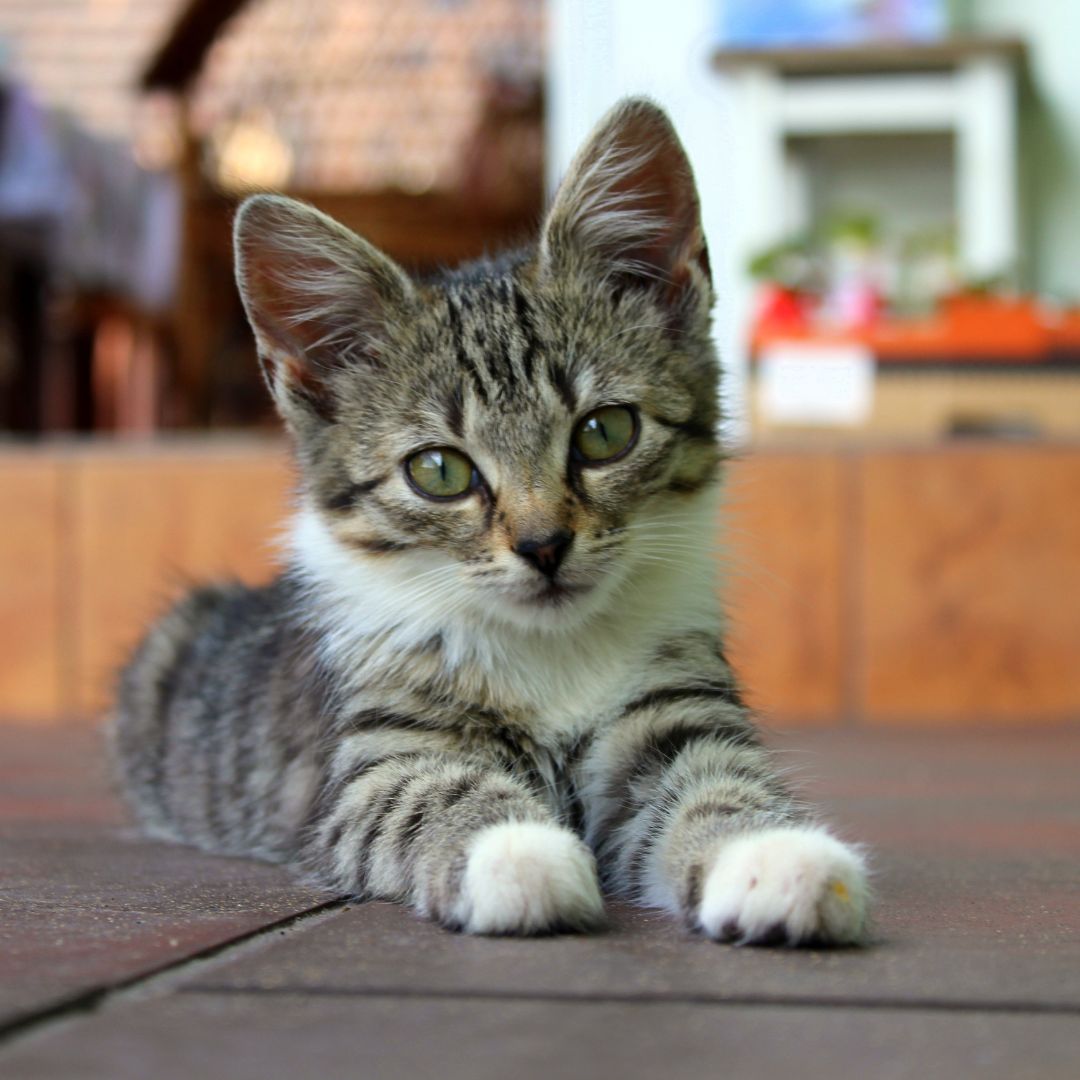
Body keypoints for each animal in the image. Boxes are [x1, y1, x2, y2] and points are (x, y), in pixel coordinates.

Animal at [109, 101, 868, 946]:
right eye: (439, 471)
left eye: (605, 431)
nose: (543, 545)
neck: (552, 653)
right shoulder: (379, 757)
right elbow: (431, 800)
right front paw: (519, 854)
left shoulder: (672, 709)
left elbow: (716, 783)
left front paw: (774, 854)